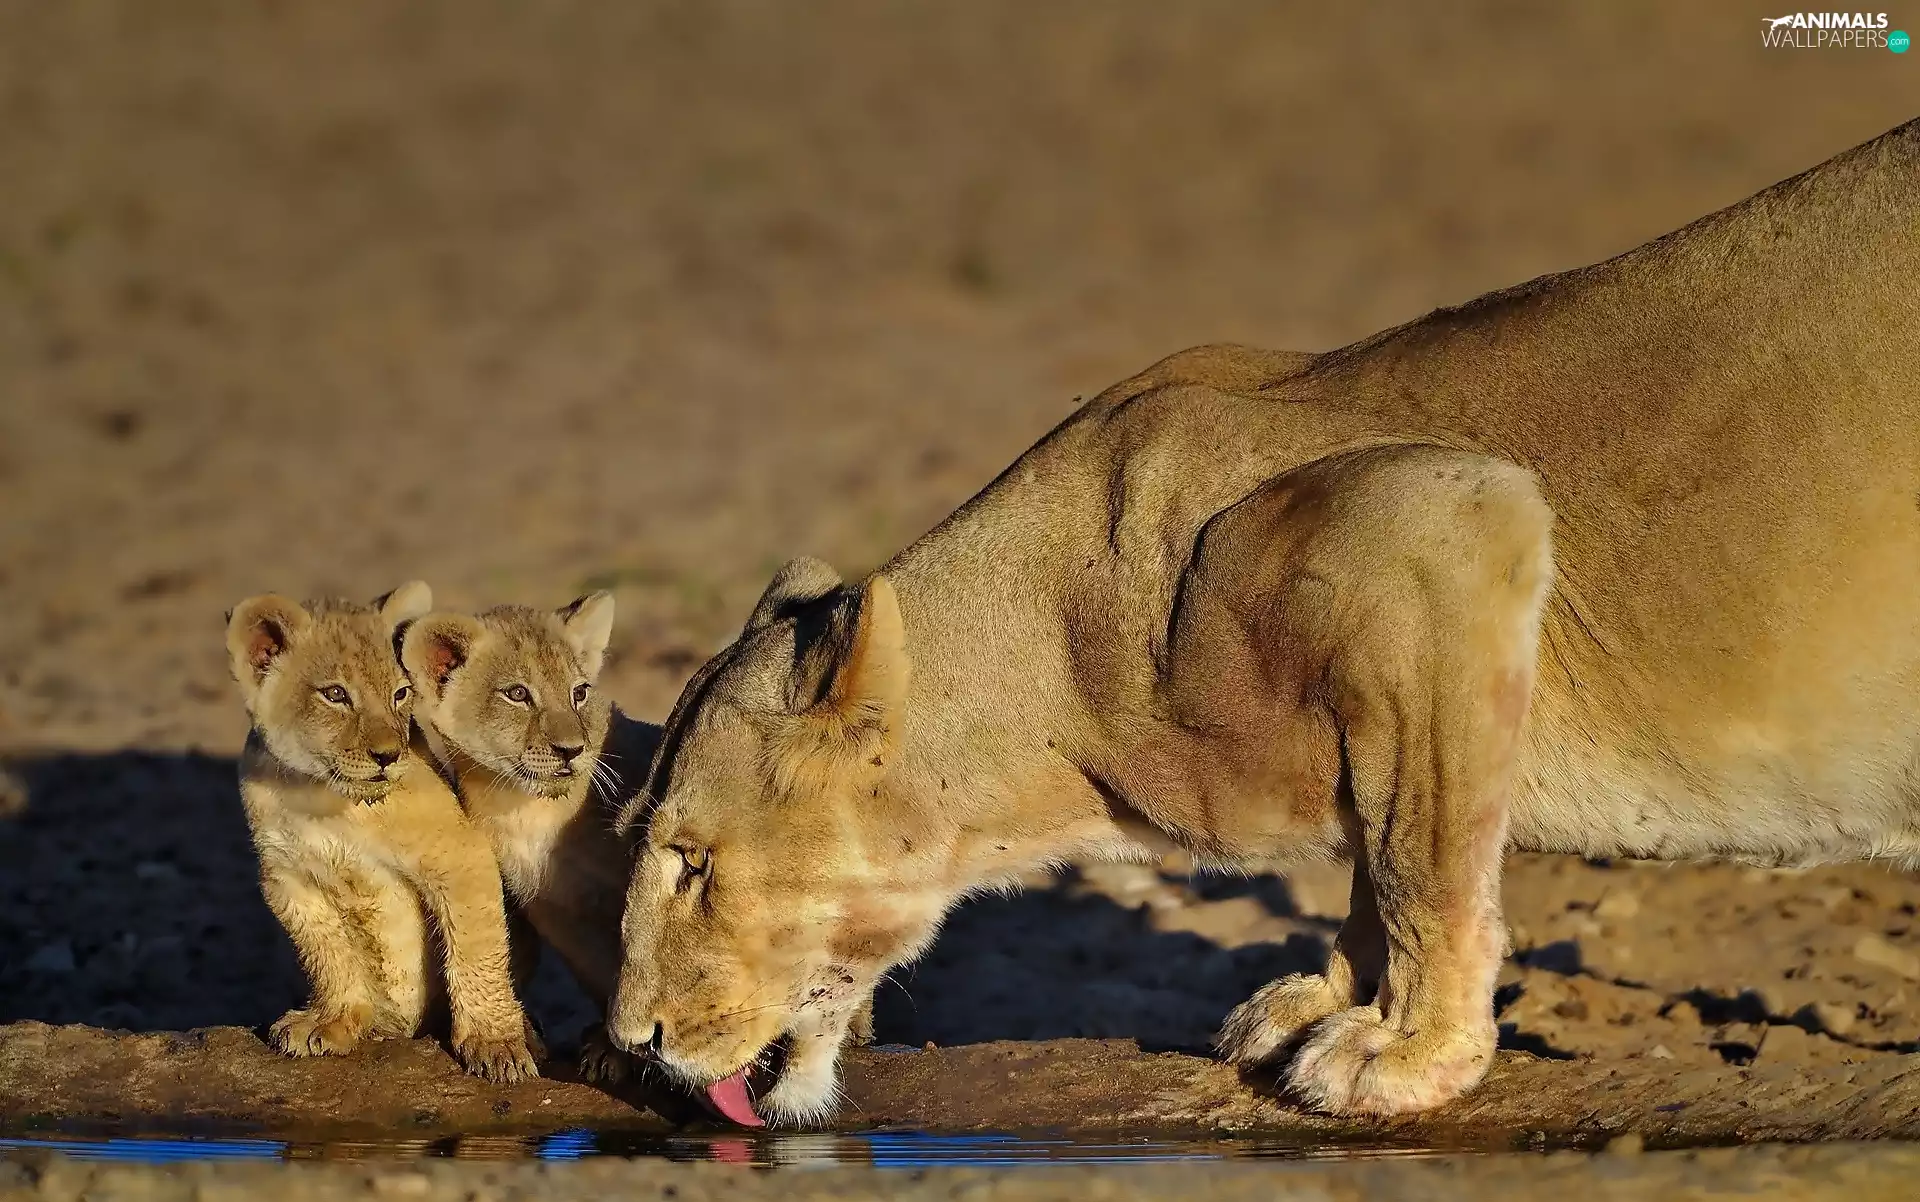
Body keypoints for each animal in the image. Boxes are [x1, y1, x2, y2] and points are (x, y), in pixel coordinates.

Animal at [228, 582, 538, 1083]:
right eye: (336, 694)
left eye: (400, 694)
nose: (388, 755)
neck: (323, 797)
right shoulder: (285, 876)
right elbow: (327, 952)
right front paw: (332, 1021)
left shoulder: (461, 853)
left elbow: (476, 951)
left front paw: (496, 1044)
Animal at [605, 116, 1920, 1124]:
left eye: (691, 861)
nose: (634, 1040)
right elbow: (1378, 844)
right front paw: (1334, 1000)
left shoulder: (1449, 516)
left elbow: (1418, 849)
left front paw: (1409, 1053)